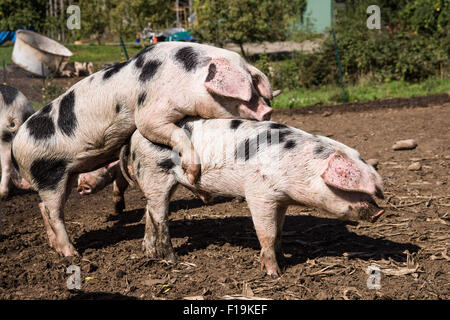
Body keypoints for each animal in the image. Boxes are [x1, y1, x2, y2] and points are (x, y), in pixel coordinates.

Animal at [10, 42, 276, 258]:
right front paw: (192, 173)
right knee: (54, 212)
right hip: (48, 175)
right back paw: (71, 254)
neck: (185, 76)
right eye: (244, 95)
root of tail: (14, 147)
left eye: (255, 88)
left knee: (44, 207)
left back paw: (55, 247)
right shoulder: (149, 115)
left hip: (66, 176)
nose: (268, 111)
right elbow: (170, 131)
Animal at [120, 119, 386, 276]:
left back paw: (150, 254)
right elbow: (266, 233)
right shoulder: (259, 193)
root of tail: (134, 137)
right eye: (350, 187)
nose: (380, 212)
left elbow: (278, 231)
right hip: (155, 175)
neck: (299, 167)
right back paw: (172, 260)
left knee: (149, 213)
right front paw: (275, 274)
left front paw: (284, 258)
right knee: (160, 218)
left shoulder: (281, 200)